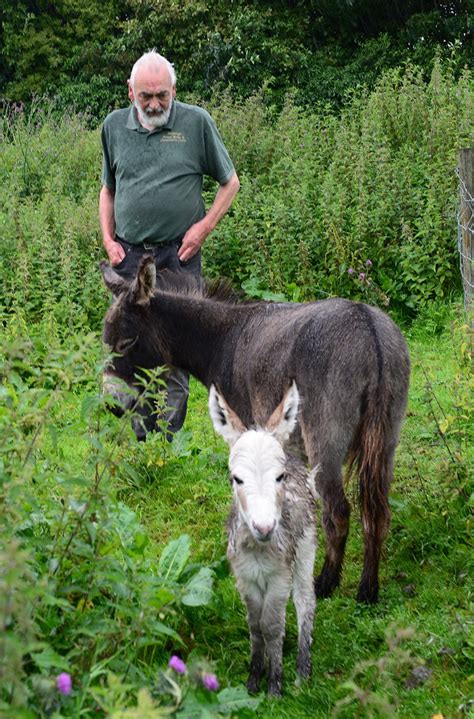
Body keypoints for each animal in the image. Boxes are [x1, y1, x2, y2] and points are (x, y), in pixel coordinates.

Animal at [210, 382, 314, 696]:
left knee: (305, 601)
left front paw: (275, 686)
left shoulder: (280, 575)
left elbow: (271, 626)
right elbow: (255, 626)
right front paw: (254, 679)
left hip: (306, 550)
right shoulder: (244, 577)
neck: (258, 549)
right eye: (236, 478)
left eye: (279, 477)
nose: (265, 527)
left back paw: (303, 672)